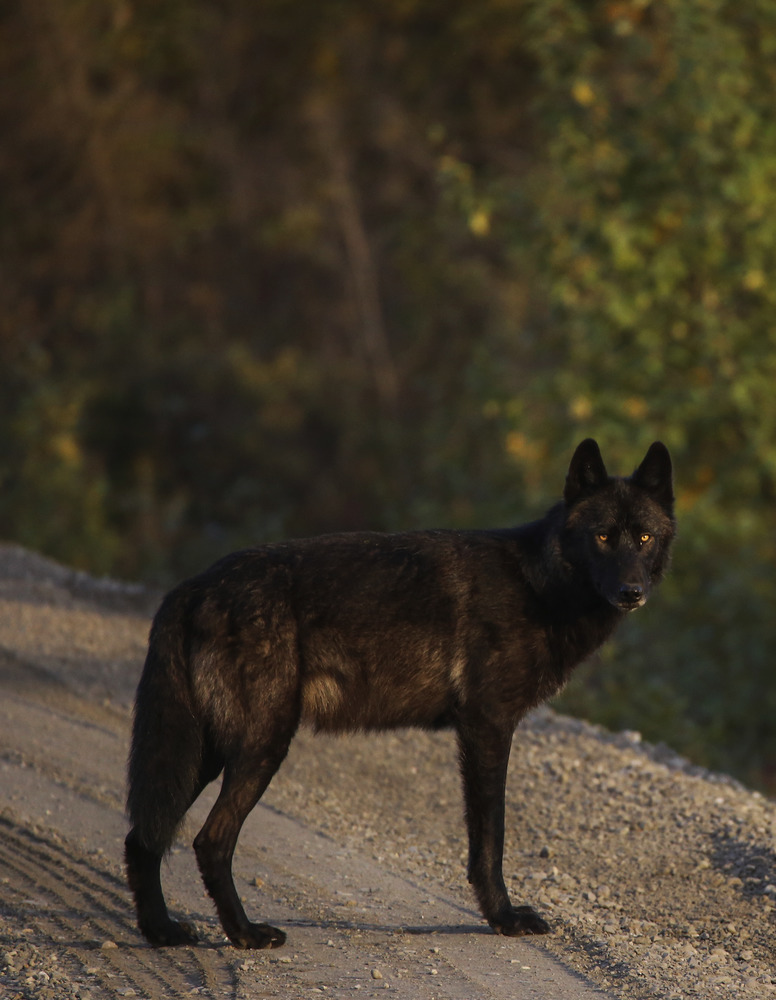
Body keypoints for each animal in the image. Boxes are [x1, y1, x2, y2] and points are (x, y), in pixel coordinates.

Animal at [125, 438, 674, 949]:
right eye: (603, 537)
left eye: (643, 538)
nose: (632, 592)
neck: (539, 585)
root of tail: (193, 585)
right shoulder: (488, 727)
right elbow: (490, 837)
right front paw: (504, 918)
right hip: (259, 747)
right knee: (209, 840)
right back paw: (245, 934)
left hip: (206, 752)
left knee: (144, 836)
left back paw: (162, 931)